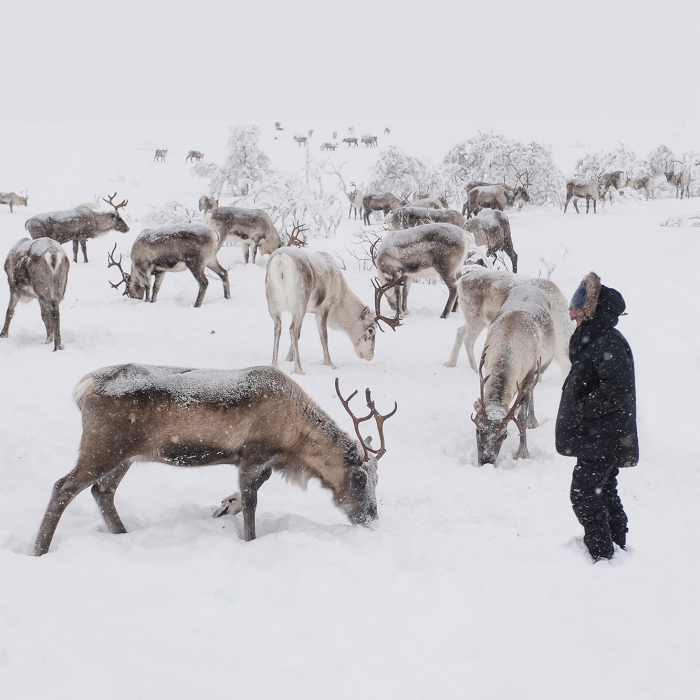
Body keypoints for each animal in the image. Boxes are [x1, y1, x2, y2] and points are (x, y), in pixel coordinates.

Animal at [32, 365, 397, 555]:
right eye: (359, 477)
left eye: (378, 479)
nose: (372, 519)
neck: (293, 440)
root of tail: (81, 389)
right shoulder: (252, 456)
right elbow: (250, 507)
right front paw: (249, 542)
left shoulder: (263, 464)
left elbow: (241, 498)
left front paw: (224, 508)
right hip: (103, 446)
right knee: (63, 486)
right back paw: (39, 549)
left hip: (125, 456)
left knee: (102, 492)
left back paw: (123, 536)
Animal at [266, 243, 403, 374]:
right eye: (371, 330)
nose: (370, 356)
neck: (341, 295)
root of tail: (281, 260)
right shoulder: (324, 307)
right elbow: (324, 336)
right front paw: (330, 364)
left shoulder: (308, 311)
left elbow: (300, 334)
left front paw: (288, 359)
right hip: (299, 305)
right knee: (292, 330)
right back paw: (299, 369)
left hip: (274, 304)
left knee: (278, 327)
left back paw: (274, 365)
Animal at [444, 266, 573, 373]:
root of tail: (460, 281)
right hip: (476, 319)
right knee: (468, 340)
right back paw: (475, 369)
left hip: (476, 319)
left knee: (460, 330)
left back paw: (450, 363)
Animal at [470, 284, 557, 465]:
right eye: (478, 431)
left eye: (502, 436)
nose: (486, 462)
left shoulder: (530, 373)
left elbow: (521, 418)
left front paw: (523, 452)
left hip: (538, 370)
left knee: (531, 394)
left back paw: (533, 420)